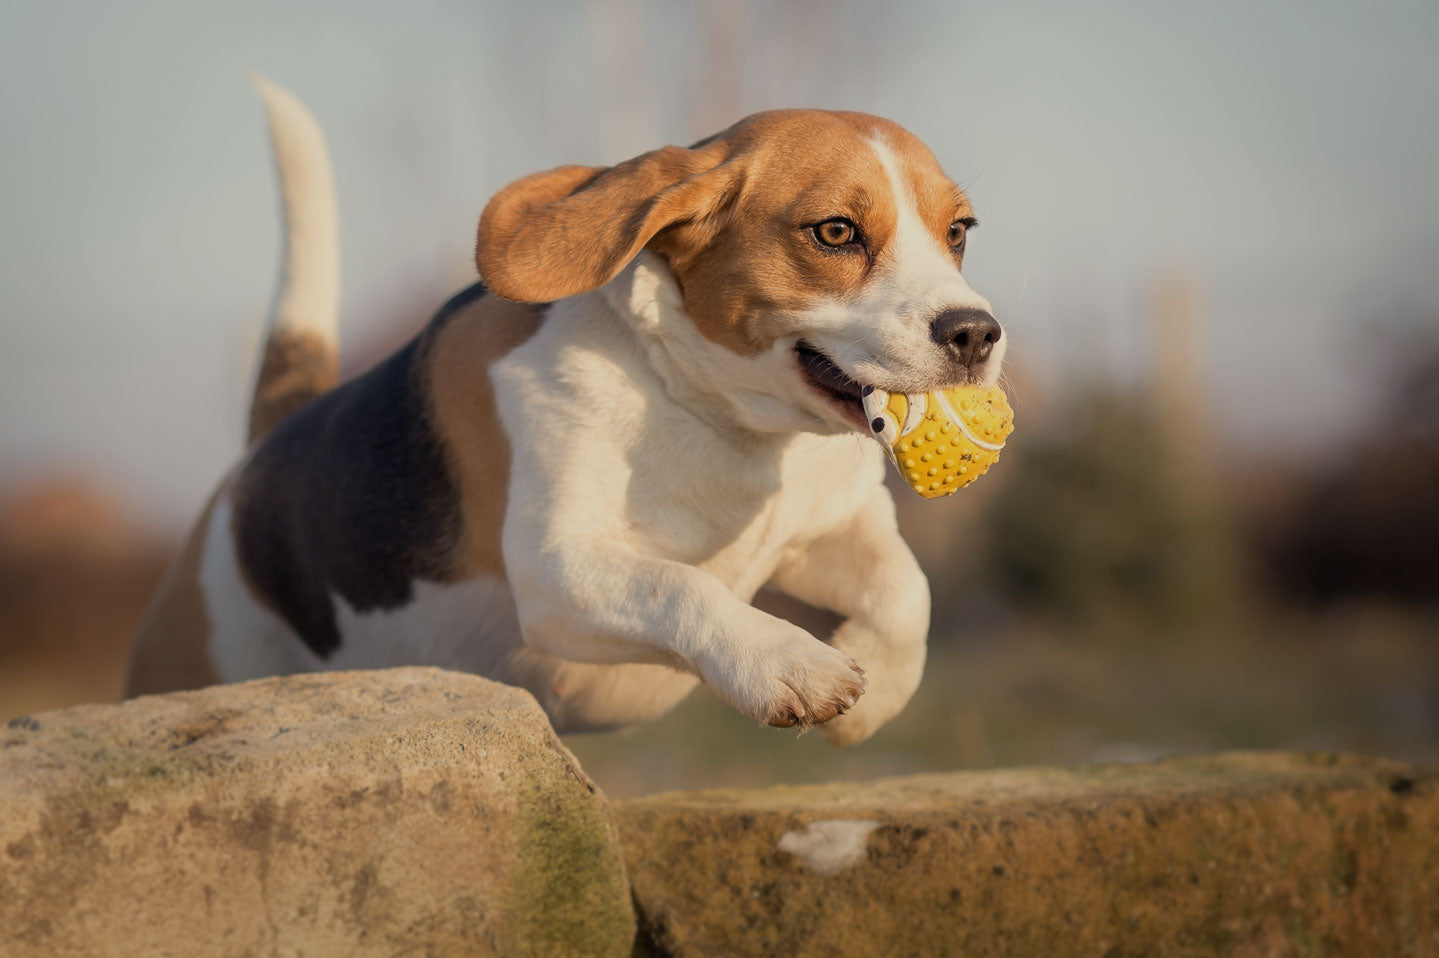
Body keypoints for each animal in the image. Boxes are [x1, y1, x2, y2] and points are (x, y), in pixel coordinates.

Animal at [123, 78, 1007, 742]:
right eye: (834, 232)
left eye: (958, 231)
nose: (974, 334)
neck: (709, 413)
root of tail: (259, 454)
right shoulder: (558, 570)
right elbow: (679, 587)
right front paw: (789, 665)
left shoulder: (832, 526)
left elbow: (907, 591)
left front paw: (877, 691)